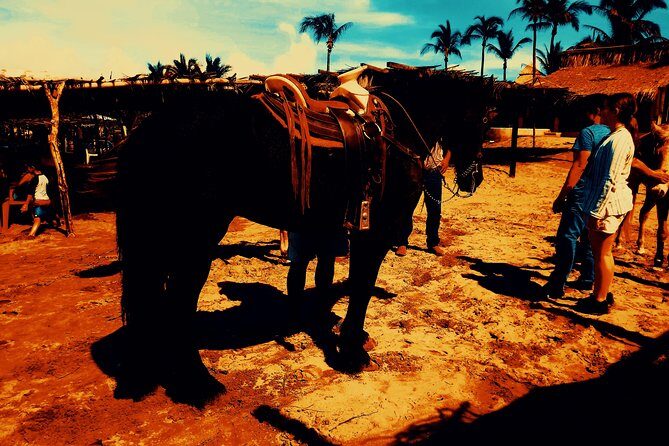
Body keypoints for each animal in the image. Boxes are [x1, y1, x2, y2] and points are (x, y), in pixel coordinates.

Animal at [111, 67, 490, 403]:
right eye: (487, 122)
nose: (475, 179)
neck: (396, 132)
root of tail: (149, 128)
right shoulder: (374, 234)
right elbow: (362, 287)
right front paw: (352, 351)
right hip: (194, 242)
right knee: (178, 303)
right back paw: (198, 384)